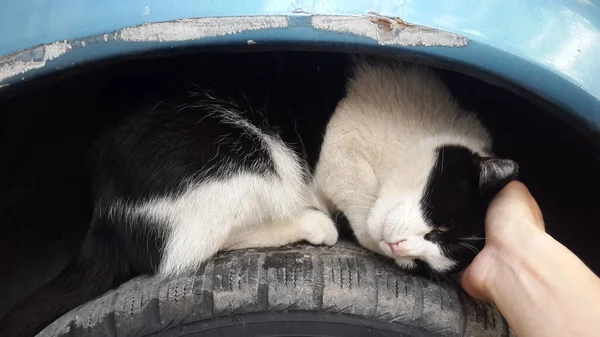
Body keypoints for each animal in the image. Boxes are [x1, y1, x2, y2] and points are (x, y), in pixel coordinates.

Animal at [0, 55, 516, 336]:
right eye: (441, 226)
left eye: (423, 266)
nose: (402, 249)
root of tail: (107, 208)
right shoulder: (342, 150)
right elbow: (350, 194)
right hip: (249, 154)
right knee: (186, 247)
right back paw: (313, 223)